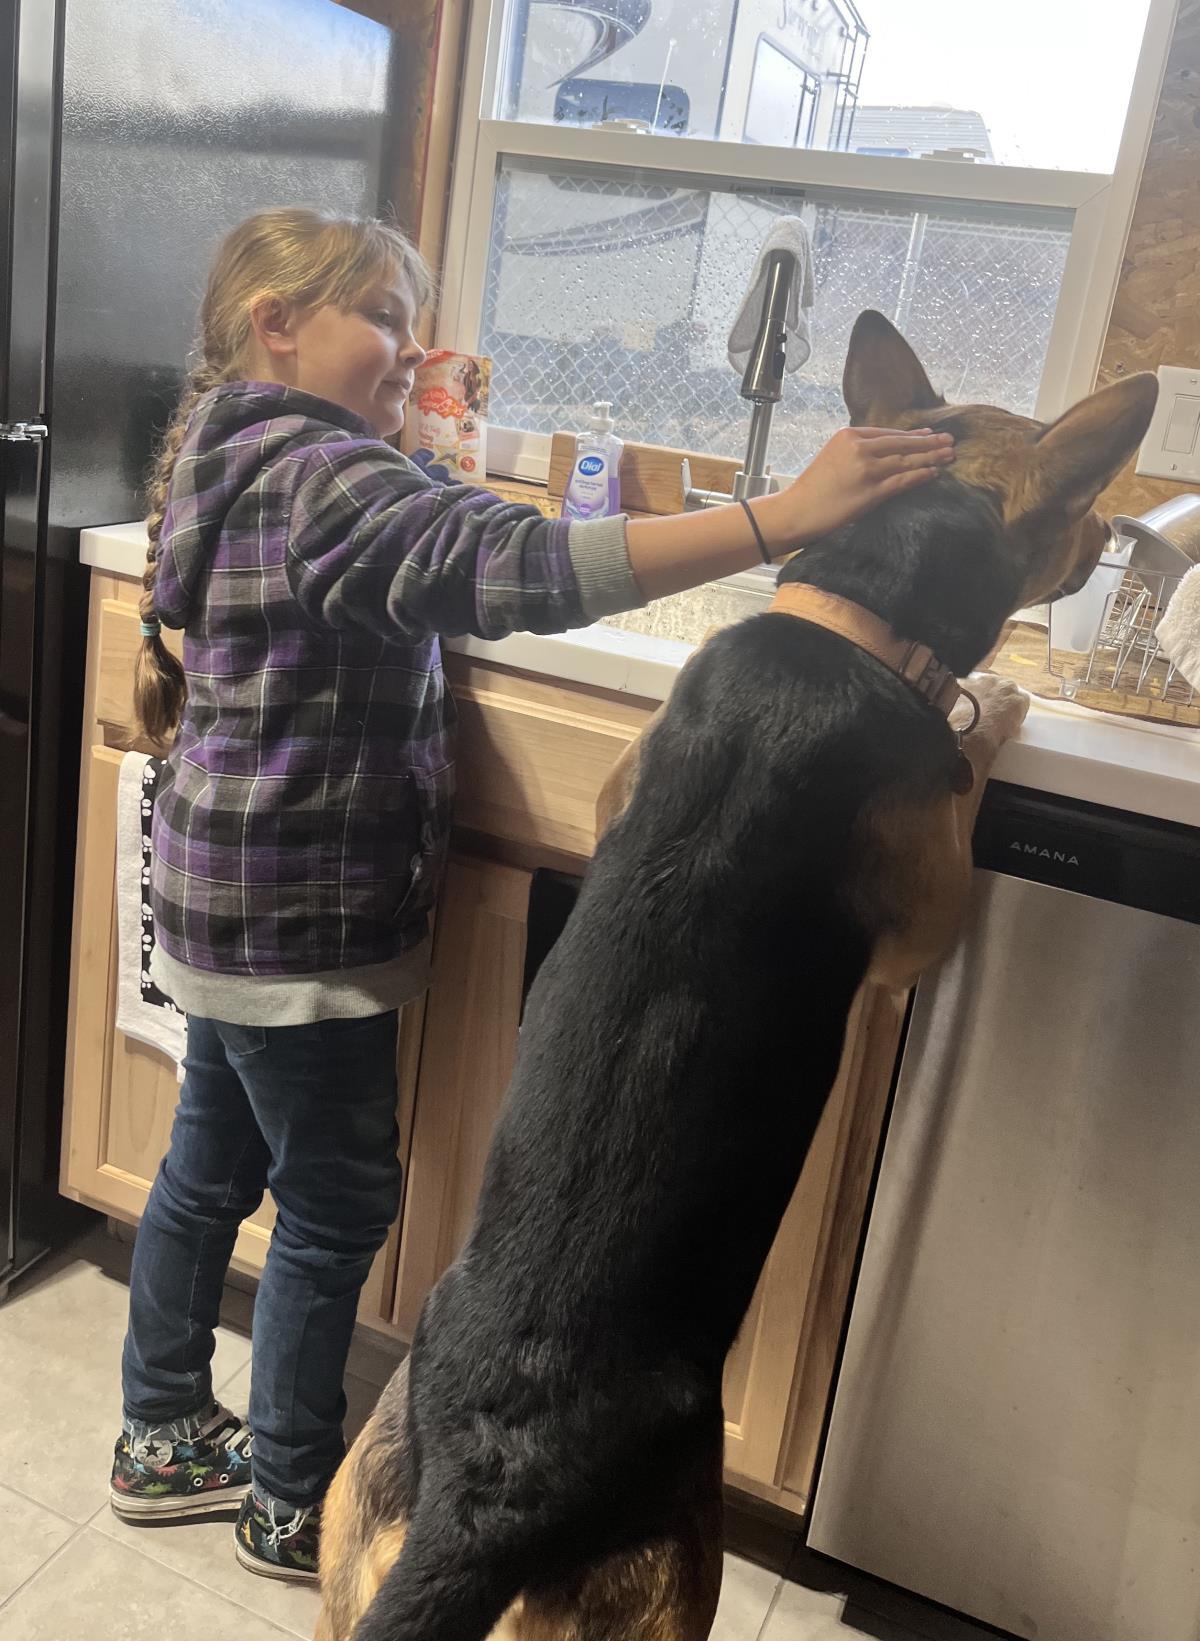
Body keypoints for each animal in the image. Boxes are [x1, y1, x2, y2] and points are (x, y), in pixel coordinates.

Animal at [315, 313, 1162, 1634]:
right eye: (1077, 510)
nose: (1103, 548)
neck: (855, 618)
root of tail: (493, 1492)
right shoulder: (927, 919)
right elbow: (962, 770)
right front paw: (998, 700)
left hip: (353, 1543)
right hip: (681, 1583)